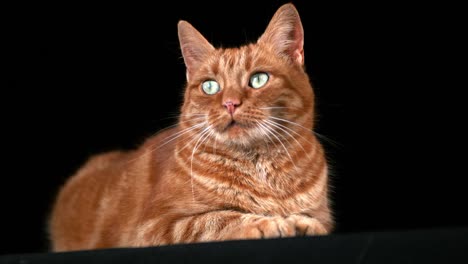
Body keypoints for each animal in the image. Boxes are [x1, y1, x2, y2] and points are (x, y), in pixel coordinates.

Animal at [48, 4, 332, 252]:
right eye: (210, 86)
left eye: (258, 79)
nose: (230, 103)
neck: (260, 168)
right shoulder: (155, 228)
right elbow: (218, 218)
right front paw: (271, 222)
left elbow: (314, 220)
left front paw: (300, 221)